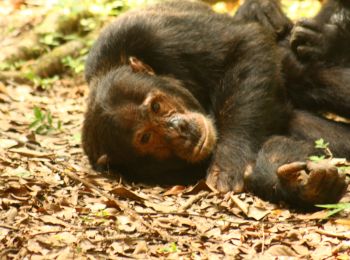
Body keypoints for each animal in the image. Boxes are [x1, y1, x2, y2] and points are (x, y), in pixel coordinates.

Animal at [82, 0, 350, 209]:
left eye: (156, 107)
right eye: (146, 137)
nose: (179, 129)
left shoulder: (152, 31)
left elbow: (243, 44)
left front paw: (229, 162)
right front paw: (297, 184)